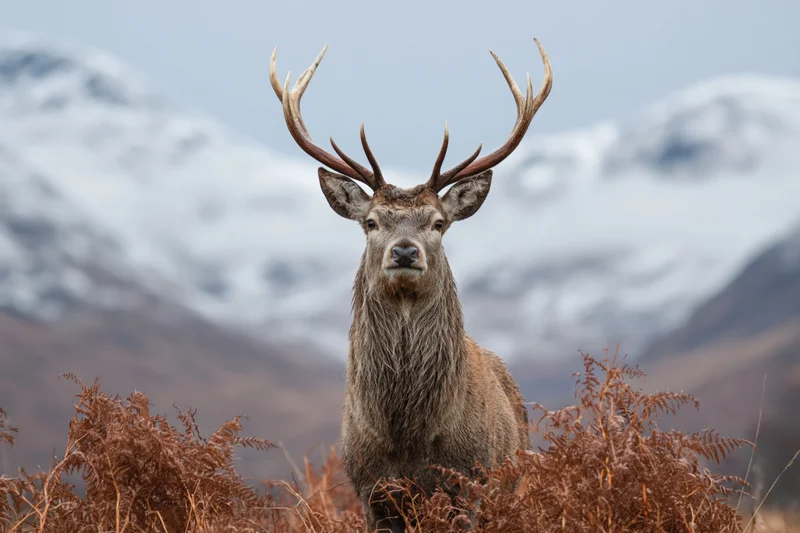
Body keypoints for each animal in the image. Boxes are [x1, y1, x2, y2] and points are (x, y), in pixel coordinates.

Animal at [269, 38, 552, 532]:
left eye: (438, 223)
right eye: (371, 222)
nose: (404, 251)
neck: (408, 435)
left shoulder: (468, 481)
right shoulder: (370, 490)